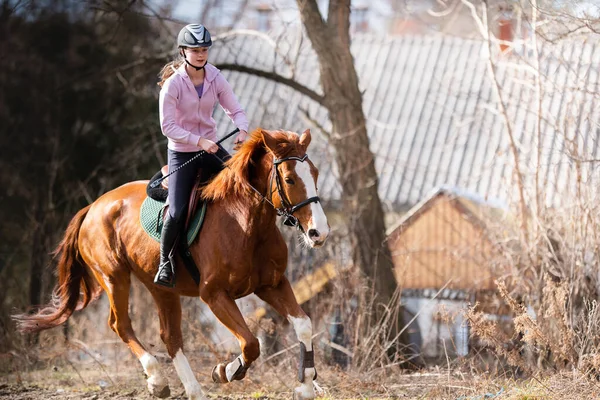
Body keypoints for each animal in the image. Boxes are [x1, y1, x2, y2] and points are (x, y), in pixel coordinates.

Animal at [14, 128, 330, 400]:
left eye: (315, 173)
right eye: (289, 179)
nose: (319, 233)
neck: (247, 223)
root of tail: (92, 207)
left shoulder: (271, 284)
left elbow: (303, 324)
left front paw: (305, 387)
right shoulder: (214, 294)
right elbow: (251, 343)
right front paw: (224, 371)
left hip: (161, 288)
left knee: (170, 336)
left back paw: (193, 391)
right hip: (114, 277)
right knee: (121, 325)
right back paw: (158, 380)